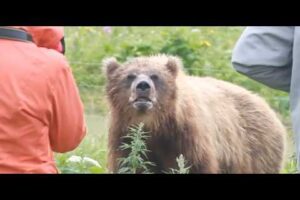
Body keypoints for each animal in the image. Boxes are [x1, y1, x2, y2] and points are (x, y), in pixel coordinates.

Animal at [102, 54, 286, 173]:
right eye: (130, 76)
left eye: (155, 76)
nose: (143, 86)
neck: (155, 124)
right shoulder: (124, 134)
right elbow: (129, 164)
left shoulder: (187, 136)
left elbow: (193, 164)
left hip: (255, 150)